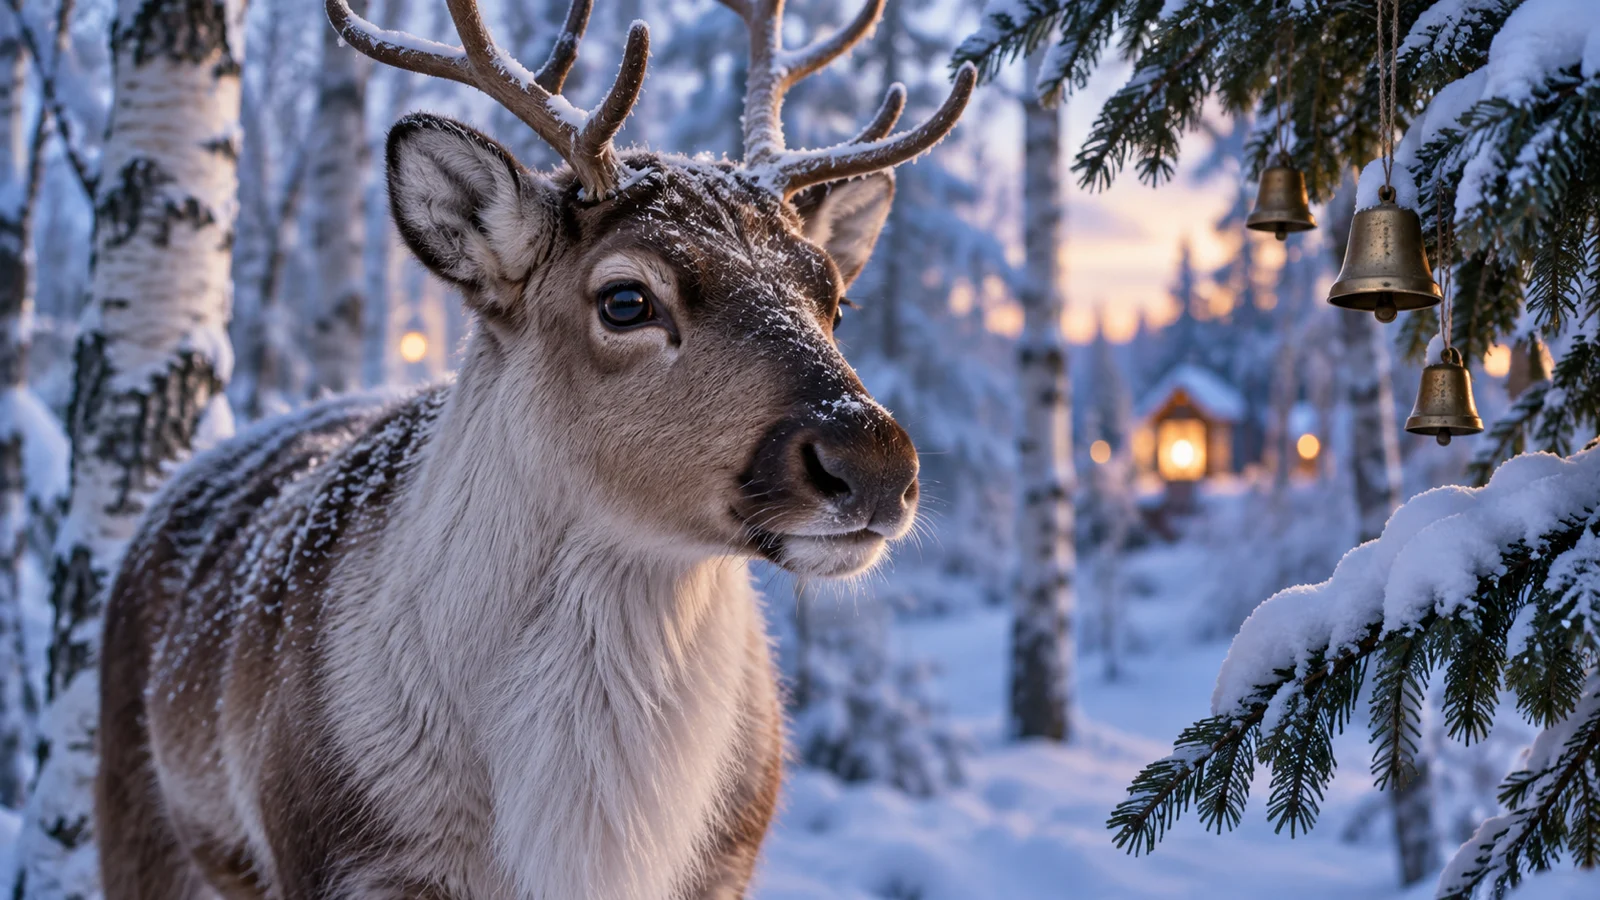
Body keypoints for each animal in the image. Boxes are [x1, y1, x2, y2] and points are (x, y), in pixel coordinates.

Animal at [94, 1, 975, 897]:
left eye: (835, 298)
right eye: (626, 300)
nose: (875, 463)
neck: (586, 843)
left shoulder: (726, 864)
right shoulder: (343, 859)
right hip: (137, 818)